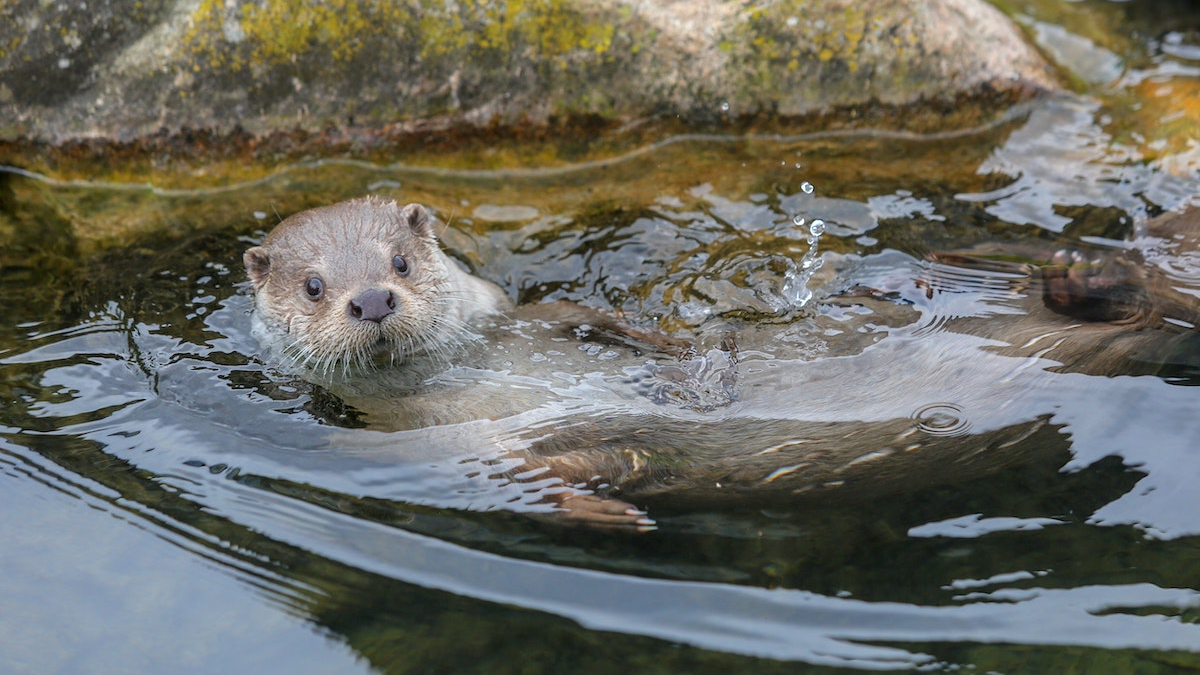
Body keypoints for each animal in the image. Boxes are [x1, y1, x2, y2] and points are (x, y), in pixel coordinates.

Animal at [243, 196, 1200, 528]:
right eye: (316, 285)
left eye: (400, 262)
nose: (371, 301)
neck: (479, 378)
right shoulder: (462, 446)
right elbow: (547, 473)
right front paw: (608, 509)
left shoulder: (533, 321)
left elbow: (597, 320)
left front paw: (676, 350)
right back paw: (1083, 280)